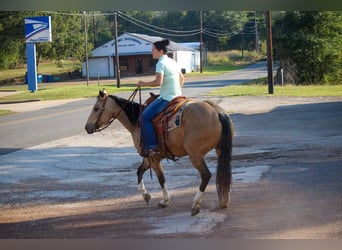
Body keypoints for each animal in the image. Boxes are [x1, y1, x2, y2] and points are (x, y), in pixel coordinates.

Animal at [85, 89, 235, 216]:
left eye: (96, 108)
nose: (87, 127)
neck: (137, 122)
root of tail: (216, 111)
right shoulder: (148, 158)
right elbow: (139, 171)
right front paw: (146, 195)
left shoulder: (154, 158)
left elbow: (161, 178)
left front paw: (164, 200)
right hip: (220, 150)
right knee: (224, 172)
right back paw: (224, 200)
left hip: (195, 155)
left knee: (206, 175)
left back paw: (195, 205)